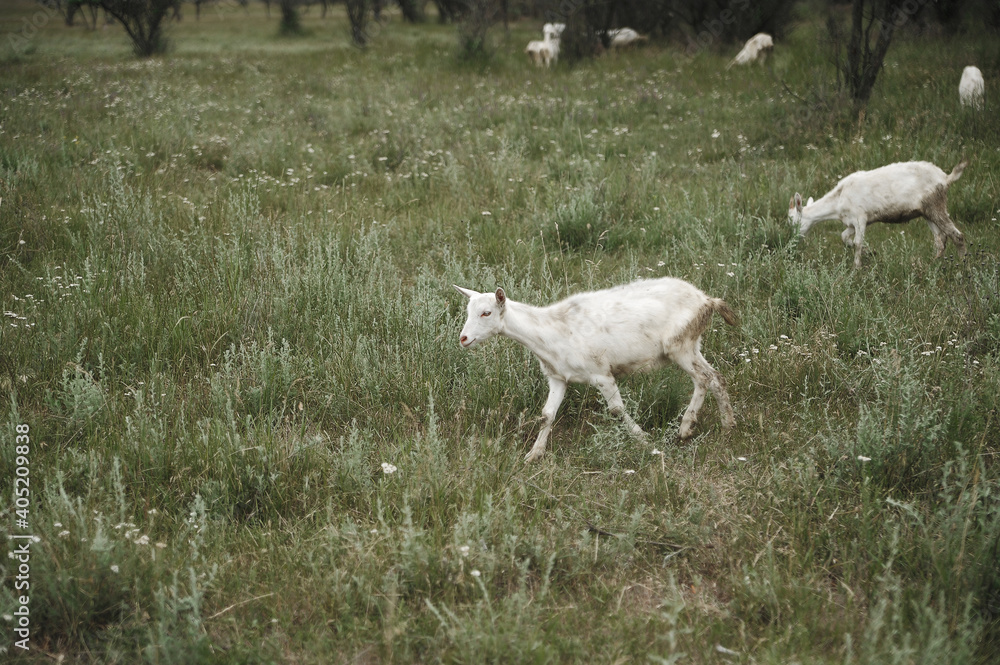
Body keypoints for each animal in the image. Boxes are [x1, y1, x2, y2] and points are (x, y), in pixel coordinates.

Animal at [454, 278, 737, 463]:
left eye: (486, 312)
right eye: (468, 310)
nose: (463, 339)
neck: (548, 332)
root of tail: (707, 300)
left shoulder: (601, 373)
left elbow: (617, 409)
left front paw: (644, 440)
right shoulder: (558, 377)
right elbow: (547, 415)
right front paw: (534, 454)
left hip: (679, 343)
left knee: (705, 378)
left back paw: (695, 428)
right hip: (692, 344)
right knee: (714, 377)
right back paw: (719, 426)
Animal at [788, 160, 968, 268]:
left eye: (793, 222)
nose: (792, 243)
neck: (839, 199)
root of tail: (946, 178)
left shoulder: (860, 217)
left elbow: (857, 242)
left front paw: (856, 267)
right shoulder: (853, 222)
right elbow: (844, 237)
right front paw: (870, 253)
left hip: (935, 205)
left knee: (957, 235)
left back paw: (961, 264)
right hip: (926, 212)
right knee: (940, 239)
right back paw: (932, 264)